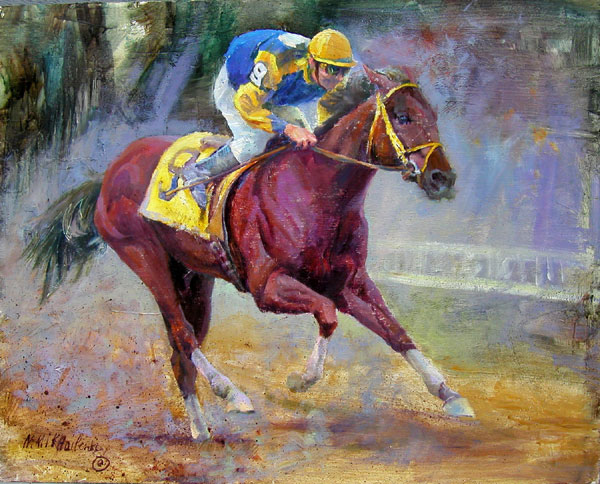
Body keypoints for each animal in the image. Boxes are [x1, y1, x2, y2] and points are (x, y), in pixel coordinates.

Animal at [26, 66, 474, 441]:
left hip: (194, 277)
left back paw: (200, 429)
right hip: (145, 258)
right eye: (402, 117)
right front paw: (301, 380)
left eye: (431, 114)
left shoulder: (350, 282)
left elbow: (395, 331)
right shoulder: (267, 286)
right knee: (183, 334)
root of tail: (110, 172)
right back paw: (231, 393)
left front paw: (450, 395)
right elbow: (327, 315)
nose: (443, 178)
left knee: (181, 350)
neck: (315, 192)